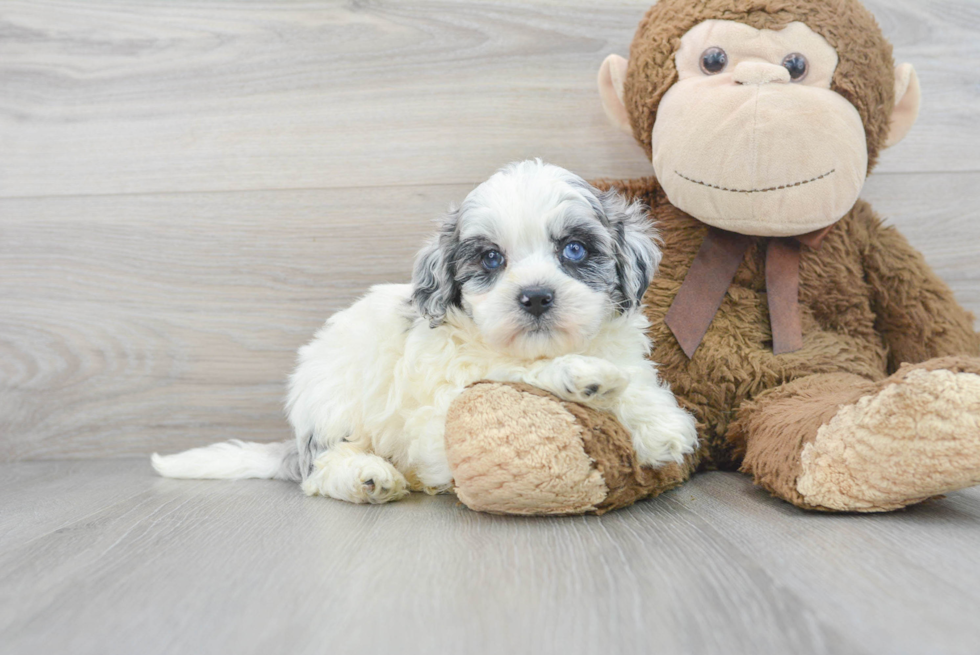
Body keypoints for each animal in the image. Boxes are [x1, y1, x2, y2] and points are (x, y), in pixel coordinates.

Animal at [153, 161, 696, 504]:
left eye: (575, 250)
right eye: (491, 259)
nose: (537, 297)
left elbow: (636, 382)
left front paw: (660, 426)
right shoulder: (442, 403)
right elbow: (508, 376)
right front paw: (578, 375)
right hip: (333, 405)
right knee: (322, 469)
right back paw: (367, 476)